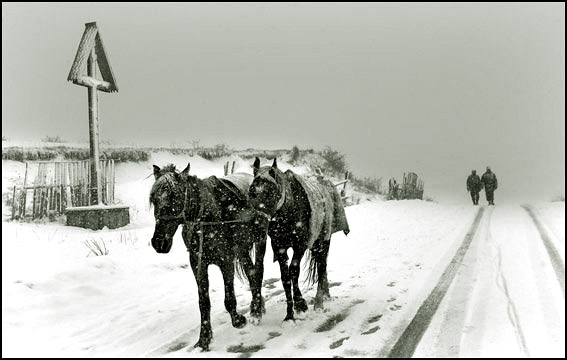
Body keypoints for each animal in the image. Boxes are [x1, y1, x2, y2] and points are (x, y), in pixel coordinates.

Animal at [150, 165, 268, 350]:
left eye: (175, 197)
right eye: (154, 199)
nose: (159, 242)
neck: (208, 218)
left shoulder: (226, 260)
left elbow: (229, 297)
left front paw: (237, 320)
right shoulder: (198, 263)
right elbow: (203, 302)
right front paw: (204, 338)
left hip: (260, 240)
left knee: (258, 272)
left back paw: (256, 309)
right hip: (242, 249)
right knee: (251, 272)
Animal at [250, 158, 350, 320]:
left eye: (272, 192)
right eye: (251, 191)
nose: (258, 225)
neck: (288, 210)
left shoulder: (300, 245)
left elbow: (294, 271)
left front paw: (300, 304)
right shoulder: (279, 246)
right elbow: (285, 277)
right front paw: (289, 314)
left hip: (323, 240)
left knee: (322, 266)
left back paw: (319, 302)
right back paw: (325, 295)